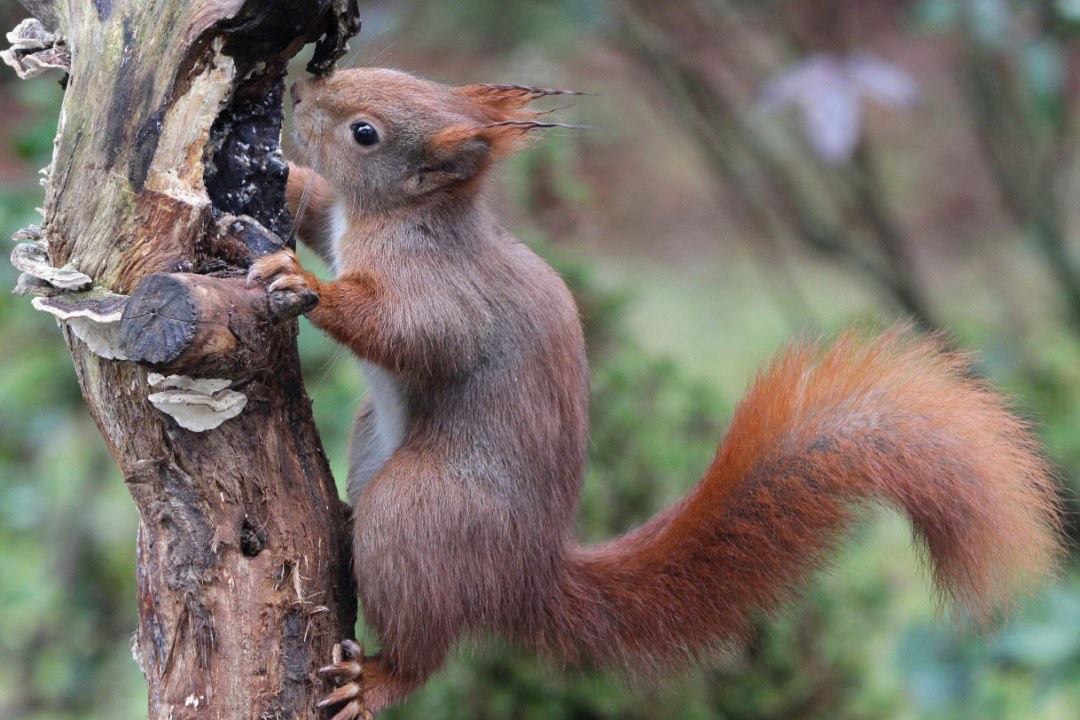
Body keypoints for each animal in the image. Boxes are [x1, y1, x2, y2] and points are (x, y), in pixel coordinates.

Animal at [246, 68, 1063, 719]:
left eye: (365, 133)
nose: (299, 91)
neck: (402, 214)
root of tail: (525, 579)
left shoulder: (441, 289)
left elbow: (413, 334)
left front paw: (306, 282)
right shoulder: (341, 220)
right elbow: (316, 206)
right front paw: (278, 187)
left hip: (422, 515)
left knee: (427, 648)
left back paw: (380, 680)